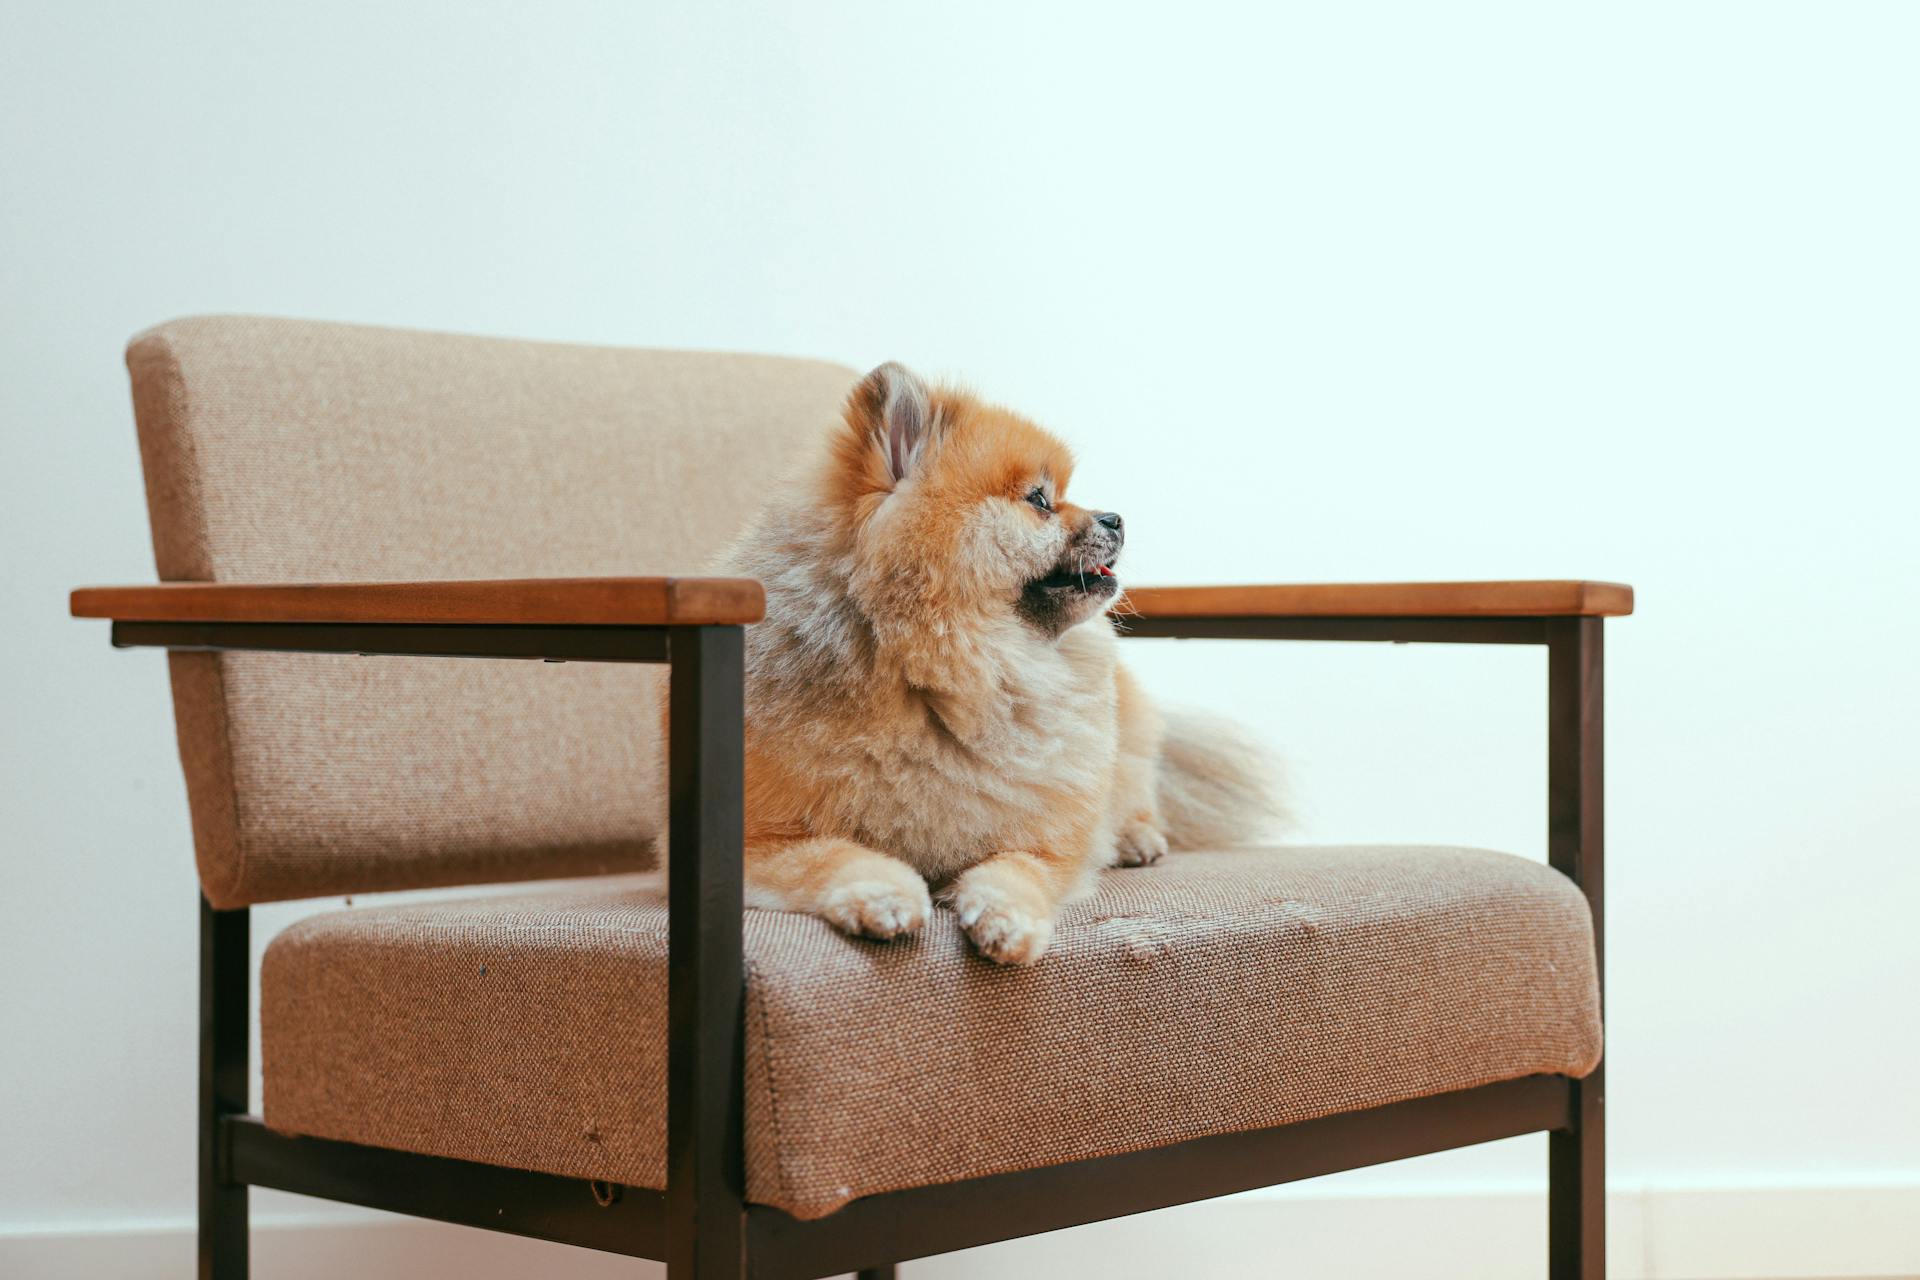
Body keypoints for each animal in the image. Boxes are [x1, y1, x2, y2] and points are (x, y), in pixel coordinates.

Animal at [721, 360, 1290, 959]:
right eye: (1039, 500)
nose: (1116, 518)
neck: (948, 677)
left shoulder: (1048, 841)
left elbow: (1018, 868)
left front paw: (1007, 918)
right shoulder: (759, 837)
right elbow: (831, 855)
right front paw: (882, 893)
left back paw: (1135, 837)